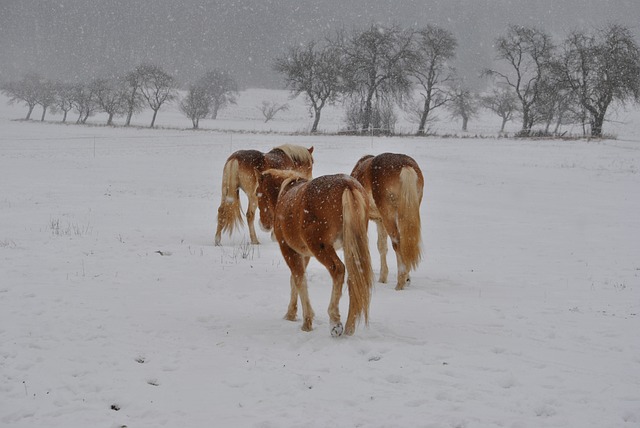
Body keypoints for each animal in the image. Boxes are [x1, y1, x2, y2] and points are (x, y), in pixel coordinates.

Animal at [256, 169, 372, 336]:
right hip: (350, 247)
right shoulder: (304, 255)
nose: (263, 224)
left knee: (338, 270)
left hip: (321, 248)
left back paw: (335, 321)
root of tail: (347, 185)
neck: (285, 192)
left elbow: (299, 279)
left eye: (258, 193)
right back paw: (349, 326)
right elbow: (294, 279)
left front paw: (307, 321)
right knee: (354, 277)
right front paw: (291, 313)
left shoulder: (288, 250)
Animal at [350, 152, 424, 290]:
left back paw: (400, 283)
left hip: (389, 215)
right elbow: (382, 246)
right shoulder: (380, 221)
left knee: (397, 243)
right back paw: (405, 278)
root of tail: (405, 166)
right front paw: (383, 277)